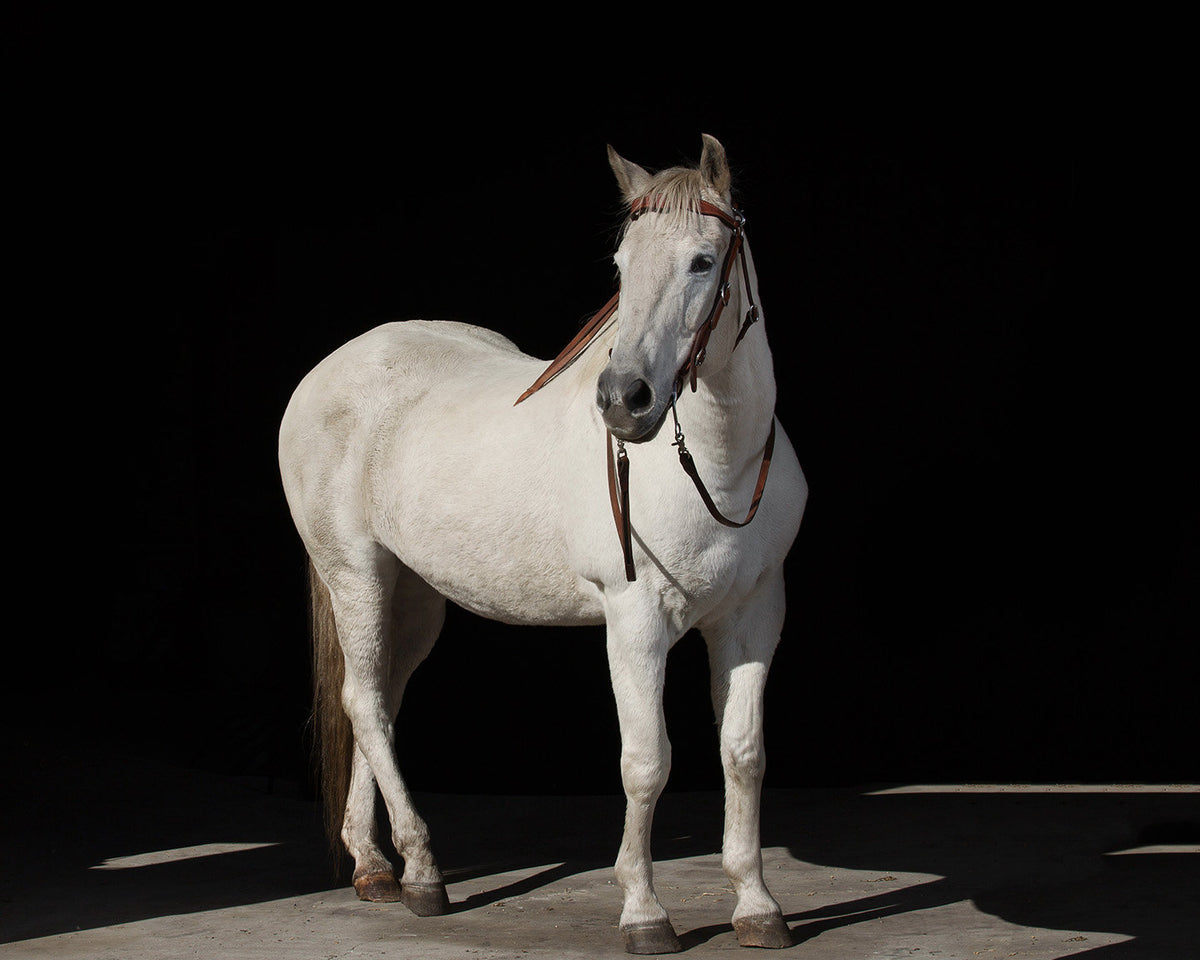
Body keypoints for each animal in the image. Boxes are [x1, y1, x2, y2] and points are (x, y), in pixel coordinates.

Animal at [278, 135, 806, 950]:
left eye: (702, 261)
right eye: (621, 264)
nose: (625, 400)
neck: (718, 470)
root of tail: (328, 370)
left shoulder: (753, 617)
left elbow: (743, 755)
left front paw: (756, 905)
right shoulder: (636, 622)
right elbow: (646, 763)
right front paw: (644, 913)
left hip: (413, 596)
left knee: (381, 703)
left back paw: (374, 866)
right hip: (355, 575)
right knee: (363, 701)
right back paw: (423, 874)